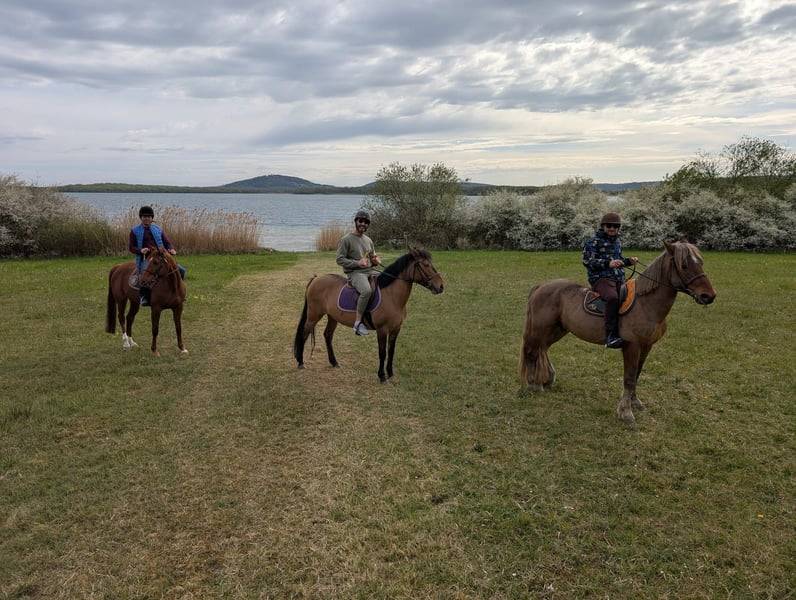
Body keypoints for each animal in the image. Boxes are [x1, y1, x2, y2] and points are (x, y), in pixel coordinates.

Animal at [293, 247, 444, 382]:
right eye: (426, 265)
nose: (441, 286)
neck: (391, 295)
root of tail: (316, 279)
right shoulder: (382, 329)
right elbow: (382, 353)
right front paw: (382, 376)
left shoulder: (396, 329)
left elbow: (391, 351)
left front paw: (390, 373)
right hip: (314, 316)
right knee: (304, 334)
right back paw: (300, 362)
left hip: (332, 317)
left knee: (327, 335)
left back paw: (334, 362)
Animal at [519, 240, 716, 425]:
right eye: (684, 265)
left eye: (700, 262)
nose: (709, 296)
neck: (646, 304)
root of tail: (541, 286)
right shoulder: (632, 346)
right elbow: (629, 378)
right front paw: (626, 412)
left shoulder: (646, 346)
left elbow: (636, 374)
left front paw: (635, 403)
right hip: (540, 328)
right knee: (532, 351)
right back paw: (533, 385)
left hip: (559, 329)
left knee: (542, 349)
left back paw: (545, 380)